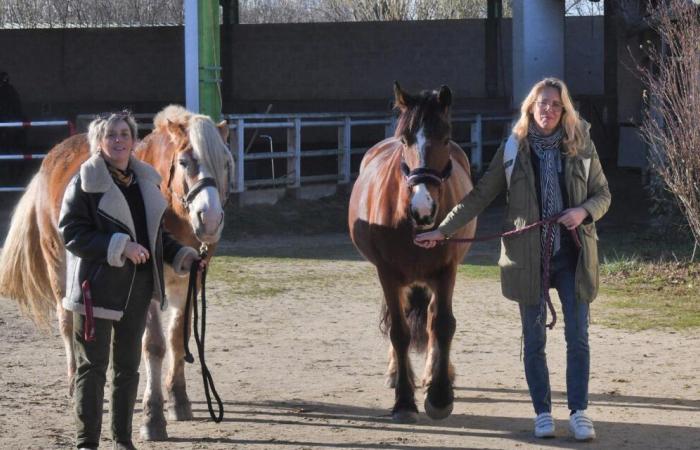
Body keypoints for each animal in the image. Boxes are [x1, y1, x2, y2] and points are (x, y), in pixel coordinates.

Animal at [0, 104, 235, 440]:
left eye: (226, 164)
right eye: (184, 162)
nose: (211, 219)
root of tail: (52, 158)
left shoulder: (189, 281)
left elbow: (178, 338)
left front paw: (178, 400)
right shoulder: (151, 288)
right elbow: (154, 345)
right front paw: (153, 417)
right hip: (58, 267)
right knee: (67, 323)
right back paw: (73, 382)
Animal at [348, 83, 478, 422]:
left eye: (445, 137)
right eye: (405, 139)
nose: (423, 208)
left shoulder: (446, 271)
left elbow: (442, 325)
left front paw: (440, 396)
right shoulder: (388, 274)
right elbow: (399, 331)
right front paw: (404, 401)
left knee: (432, 318)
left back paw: (435, 373)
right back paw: (397, 372)